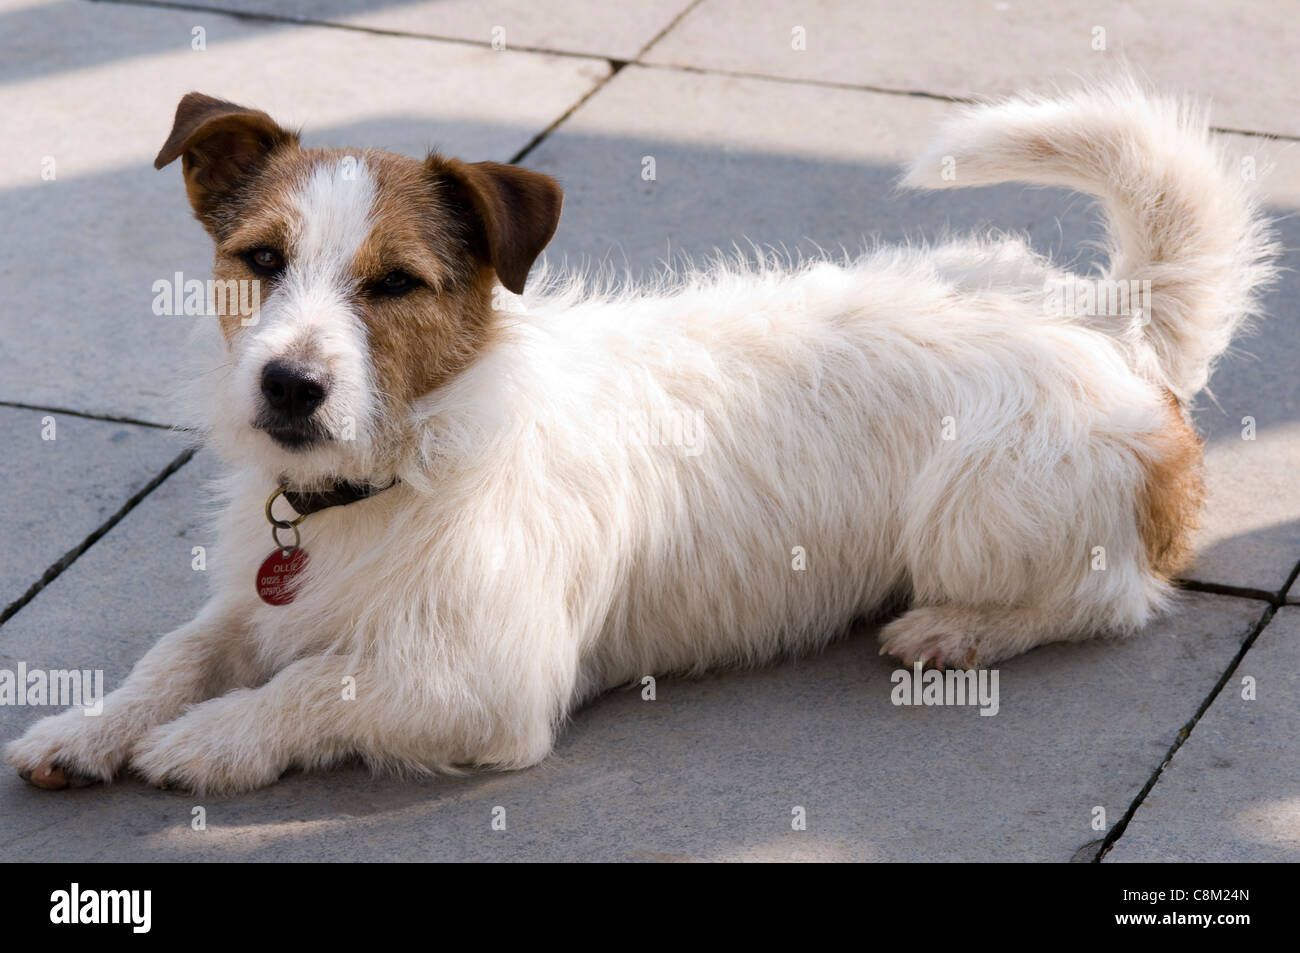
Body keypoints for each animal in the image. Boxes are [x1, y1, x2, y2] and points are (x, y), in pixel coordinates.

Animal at [5, 81, 1274, 790]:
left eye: (396, 283)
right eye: (260, 260)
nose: (287, 385)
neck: (400, 466)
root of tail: (1104, 314)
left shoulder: (485, 681)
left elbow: (318, 686)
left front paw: (209, 742)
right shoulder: (256, 602)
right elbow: (179, 653)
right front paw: (92, 724)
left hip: (984, 507)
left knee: (1110, 594)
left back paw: (960, 627)